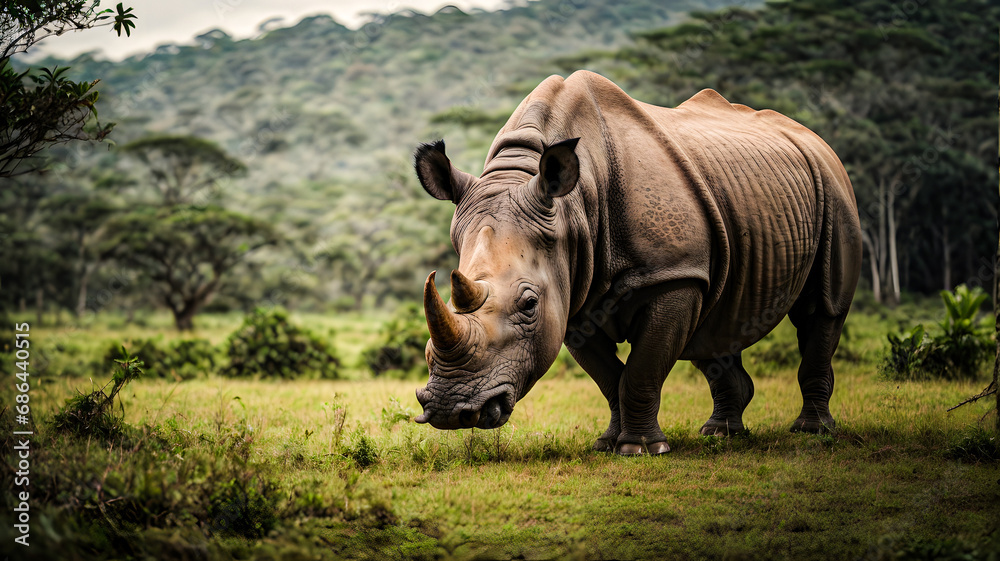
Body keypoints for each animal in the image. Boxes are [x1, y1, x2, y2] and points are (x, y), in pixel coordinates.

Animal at [412, 71, 861, 455]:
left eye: (528, 304)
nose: (454, 411)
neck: (573, 207)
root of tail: (813, 137)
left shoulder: (673, 274)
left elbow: (643, 369)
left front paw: (642, 449)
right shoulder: (574, 294)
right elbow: (610, 377)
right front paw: (608, 444)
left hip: (833, 184)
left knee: (822, 309)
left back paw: (812, 432)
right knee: (715, 315)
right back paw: (722, 434)